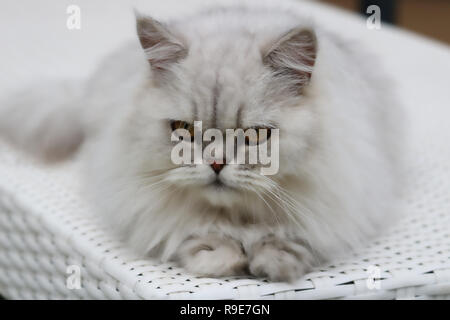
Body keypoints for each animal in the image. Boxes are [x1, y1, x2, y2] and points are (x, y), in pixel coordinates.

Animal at [0, 3, 402, 282]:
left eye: (254, 135)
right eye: (184, 130)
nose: (216, 164)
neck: (238, 217)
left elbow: (290, 236)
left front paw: (274, 262)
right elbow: (196, 231)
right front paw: (221, 258)